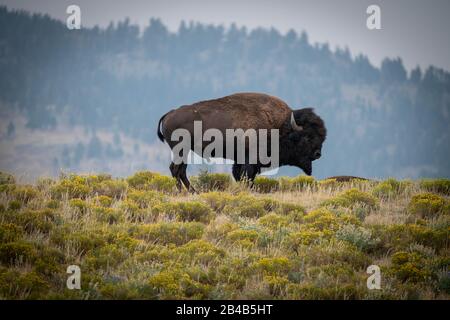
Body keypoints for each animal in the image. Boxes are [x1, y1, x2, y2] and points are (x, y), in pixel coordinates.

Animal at [156, 92, 326, 192]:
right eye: (307, 137)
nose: (318, 154)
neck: (281, 126)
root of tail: (169, 114)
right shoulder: (250, 160)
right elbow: (247, 176)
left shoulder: (240, 160)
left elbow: (239, 175)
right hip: (181, 150)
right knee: (176, 169)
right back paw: (184, 192)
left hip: (184, 151)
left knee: (180, 170)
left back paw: (193, 192)